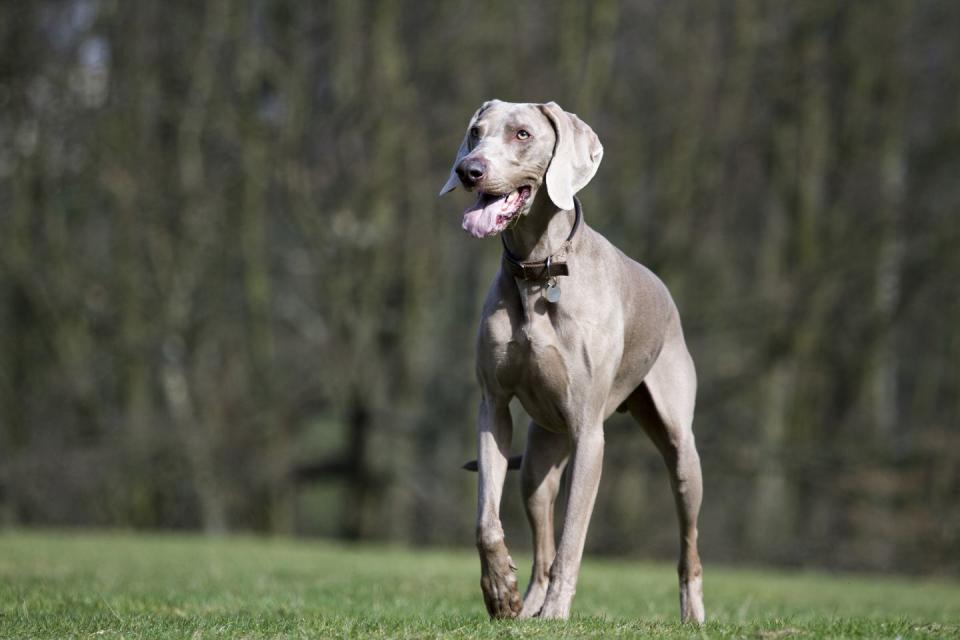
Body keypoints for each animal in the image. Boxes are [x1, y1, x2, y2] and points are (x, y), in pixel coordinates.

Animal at [442, 100, 704, 624]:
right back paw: (527, 607)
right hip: (540, 456)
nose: (468, 170)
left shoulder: (589, 433)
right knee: (540, 535)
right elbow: (487, 519)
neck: (538, 269)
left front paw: (557, 612)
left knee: (689, 542)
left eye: (522, 134)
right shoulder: (493, 407)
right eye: (475, 132)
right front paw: (499, 590)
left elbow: (572, 538)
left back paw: (693, 615)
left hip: (682, 453)